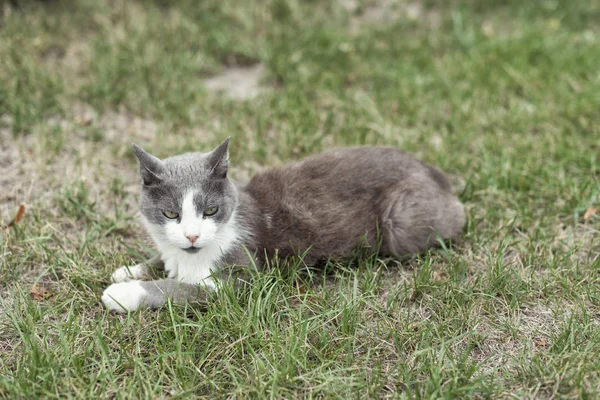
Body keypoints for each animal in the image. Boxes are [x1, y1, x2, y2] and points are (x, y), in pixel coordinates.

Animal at [101, 140, 464, 312]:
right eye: (171, 214)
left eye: (211, 210)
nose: (192, 235)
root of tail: (434, 171)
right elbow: (163, 259)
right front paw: (129, 270)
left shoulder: (242, 278)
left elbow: (184, 289)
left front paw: (125, 293)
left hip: (399, 223)